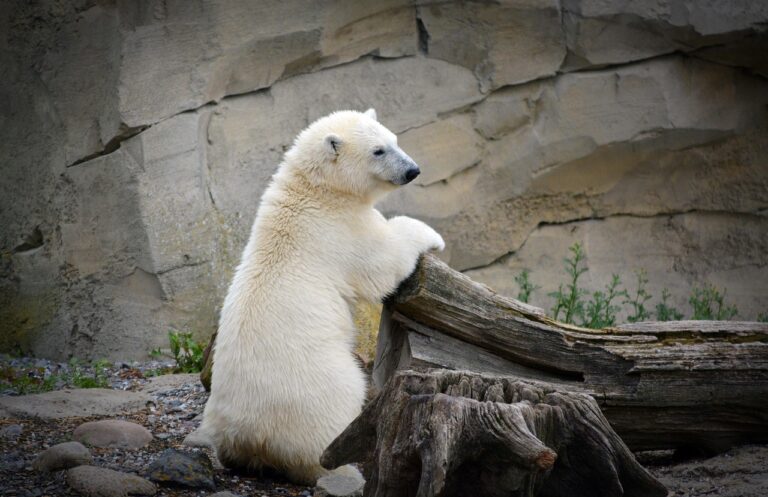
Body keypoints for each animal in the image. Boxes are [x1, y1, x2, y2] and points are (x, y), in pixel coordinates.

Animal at [200, 108, 445, 485]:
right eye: (378, 150)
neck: (316, 192)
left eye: (394, 139)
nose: (412, 170)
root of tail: (250, 438)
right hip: (316, 386)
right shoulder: (340, 230)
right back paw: (347, 470)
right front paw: (431, 235)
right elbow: (383, 261)